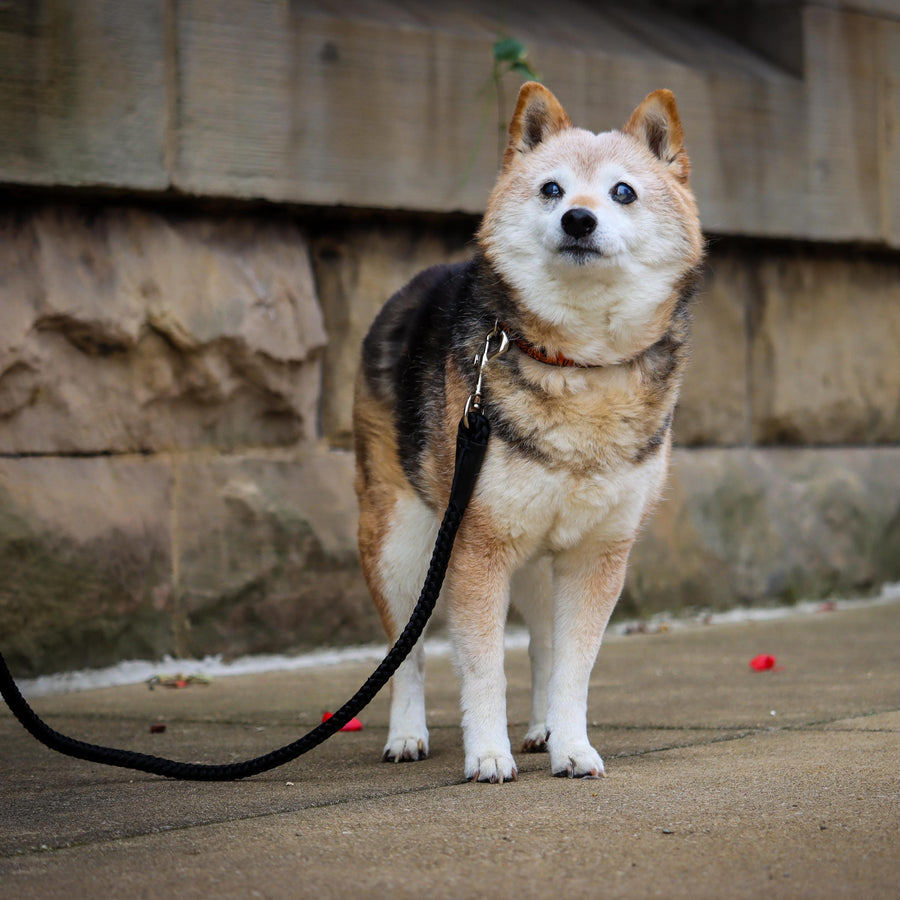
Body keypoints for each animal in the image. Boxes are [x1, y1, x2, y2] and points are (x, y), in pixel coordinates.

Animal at [356, 86, 708, 788]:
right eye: (551, 188)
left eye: (623, 191)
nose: (578, 219)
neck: (579, 362)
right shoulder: (477, 547)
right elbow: (482, 669)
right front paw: (489, 754)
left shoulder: (597, 554)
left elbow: (574, 667)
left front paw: (572, 745)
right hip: (403, 542)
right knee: (406, 653)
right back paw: (407, 734)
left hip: (539, 563)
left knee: (543, 643)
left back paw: (544, 729)